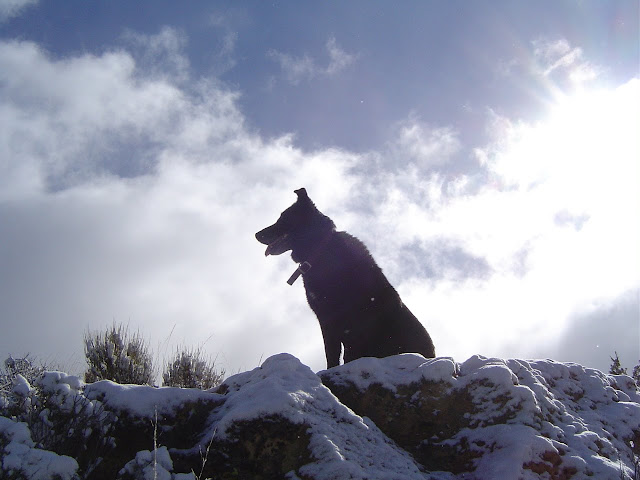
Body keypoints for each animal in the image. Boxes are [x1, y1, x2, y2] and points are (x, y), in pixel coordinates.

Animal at [255, 188, 436, 368]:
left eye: (284, 218)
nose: (257, 234)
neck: (320, 250)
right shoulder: (326, 321)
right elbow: (331, 354)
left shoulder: (351, 322)